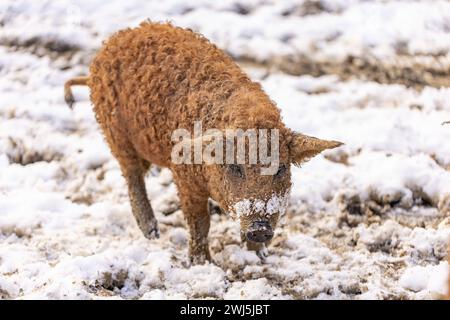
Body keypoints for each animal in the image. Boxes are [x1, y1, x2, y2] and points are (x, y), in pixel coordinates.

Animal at [65, 21, 342, 264]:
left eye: (281, 168)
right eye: (235, 167)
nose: (259, 227)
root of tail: (110, 44)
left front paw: (260, 257)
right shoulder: (184, 177)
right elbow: (199, 222)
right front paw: (202, 263)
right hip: (115, 134)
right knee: (132, 177)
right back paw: (152, 232)